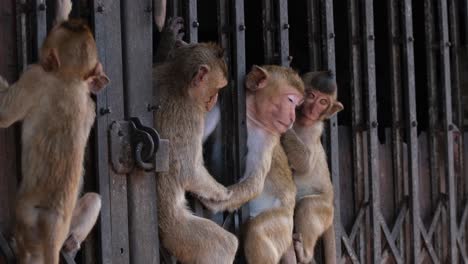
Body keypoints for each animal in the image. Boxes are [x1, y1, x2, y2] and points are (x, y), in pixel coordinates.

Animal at [0, 19, 109, 264]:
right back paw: (72, 245)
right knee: (94, 200)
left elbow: (4, 114)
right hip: (67, 223)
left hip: (23, 216)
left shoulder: (35, 77)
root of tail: (53, 226)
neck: (70, 78)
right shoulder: (89, 104)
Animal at [152, 42, 238, 262]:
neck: (176, 77)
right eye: (217, 89)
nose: (214, 100)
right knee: (225, 246)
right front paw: (222, 193)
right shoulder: (190, 115)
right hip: (178, 232)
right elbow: (189, 171)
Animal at [282, 70, 344, 264]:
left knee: (307, 206)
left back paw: (305, 254)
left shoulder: (314, 130)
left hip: (323, 210)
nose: (313, 109)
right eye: (311, 96)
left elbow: (305, 164)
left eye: (323, 101)